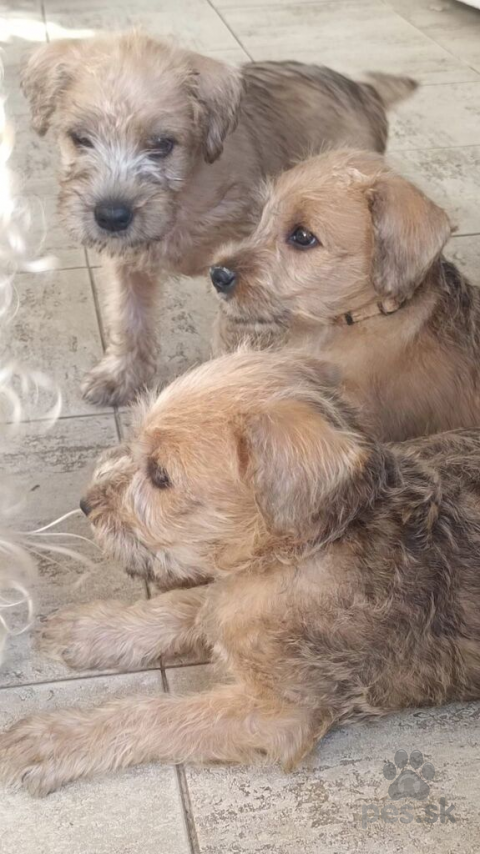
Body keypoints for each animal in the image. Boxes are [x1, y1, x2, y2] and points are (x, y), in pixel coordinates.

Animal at [0, 350, 480, 796]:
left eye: (160, 476)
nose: (85, 504)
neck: (302, 553)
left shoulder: (277, 711)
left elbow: (159, 712)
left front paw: (54, 739)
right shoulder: (230, 589)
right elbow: (179, 606)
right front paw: (89, 630)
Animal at [20, 31, 416, 406]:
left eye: (162, 144)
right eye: (80, 138)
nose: (111, 216)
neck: (183, 197)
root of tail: (361, 89)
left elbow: (232, 327)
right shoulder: (127, 264)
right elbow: (128, 315)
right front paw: (121, 375)